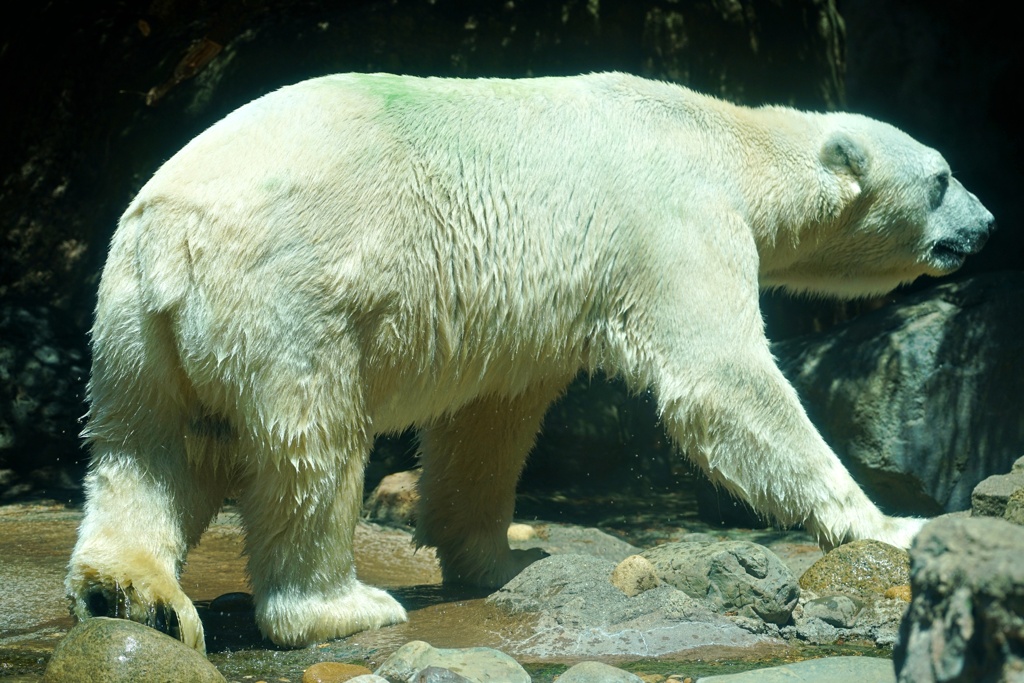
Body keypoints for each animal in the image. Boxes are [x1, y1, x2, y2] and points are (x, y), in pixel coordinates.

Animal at [64, 72, 991, 655]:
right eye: (943, 176)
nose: (986, 222)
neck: (719, 136)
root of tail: (173, 235)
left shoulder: (536, 306)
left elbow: (492, 417)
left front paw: (498, 553)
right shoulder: (673, 221)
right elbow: (723, 382)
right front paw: (889, 523)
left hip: (133, 324)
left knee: (149, 447)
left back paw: (128, 590)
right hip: (287, 296)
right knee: (309, 444)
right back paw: (342, 605)